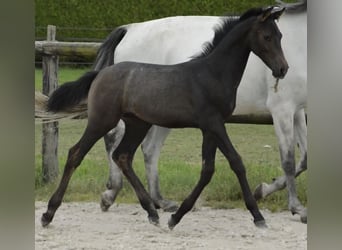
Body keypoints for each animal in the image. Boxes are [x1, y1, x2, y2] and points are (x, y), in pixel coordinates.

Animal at [42, 7, 288, 230]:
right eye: (267, 36)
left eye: (280, 36)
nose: (282, 69)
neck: (212, 74)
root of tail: (100, 74)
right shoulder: (214, 123)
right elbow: (236, 162)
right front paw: (258, 216)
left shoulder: (210, 127)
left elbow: (207, 170)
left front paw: (176, 217)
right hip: (102, 120)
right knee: (76, 153)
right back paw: (48, 213)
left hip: (137, 124)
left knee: (122, 156)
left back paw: (152, 212)